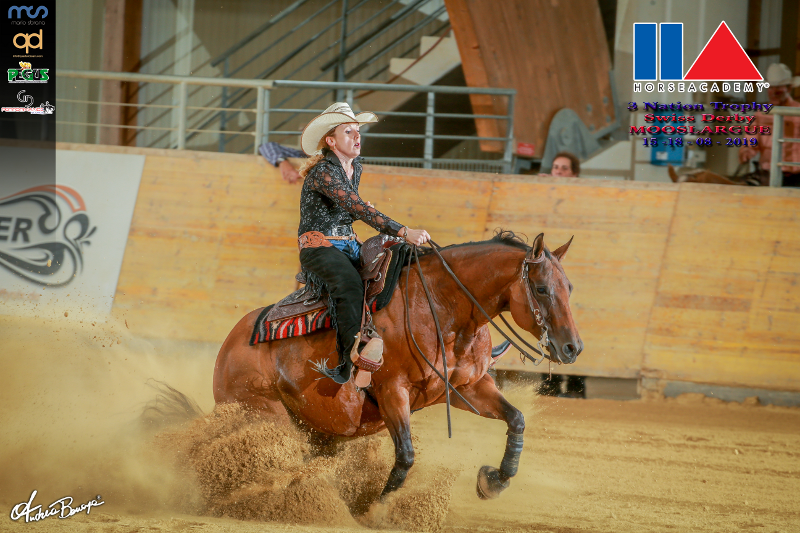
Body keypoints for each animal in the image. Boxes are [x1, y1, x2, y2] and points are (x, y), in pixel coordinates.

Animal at [214, 232, 580, 498]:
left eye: (569, 287)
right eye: (542, 288)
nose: (573, 347)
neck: (442, 307)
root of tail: (228, 347)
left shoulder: (466, 388)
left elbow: (516, 419)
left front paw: (493, 481)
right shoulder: (393, 390)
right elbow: (405, 455)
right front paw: (378, 508)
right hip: (263, 414)